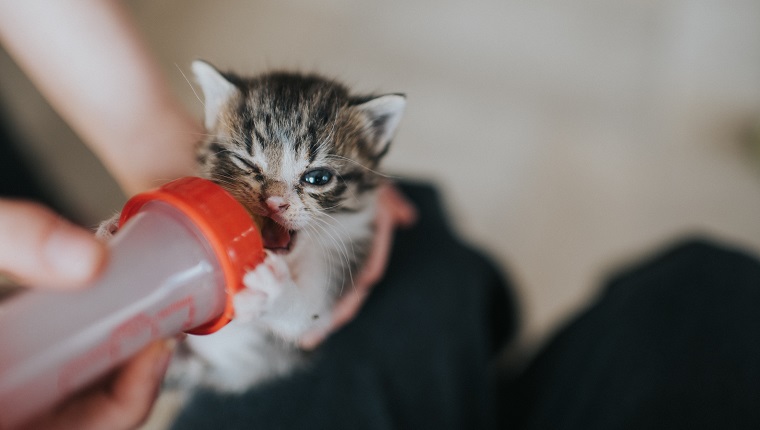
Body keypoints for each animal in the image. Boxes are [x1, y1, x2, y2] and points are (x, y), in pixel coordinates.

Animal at [99, 60, 404, 394]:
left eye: (318, 178)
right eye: (245, 162)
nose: (273, 202)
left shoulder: (337, 284)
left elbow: (308, 317)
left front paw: (273, 294)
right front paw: (117, 231)